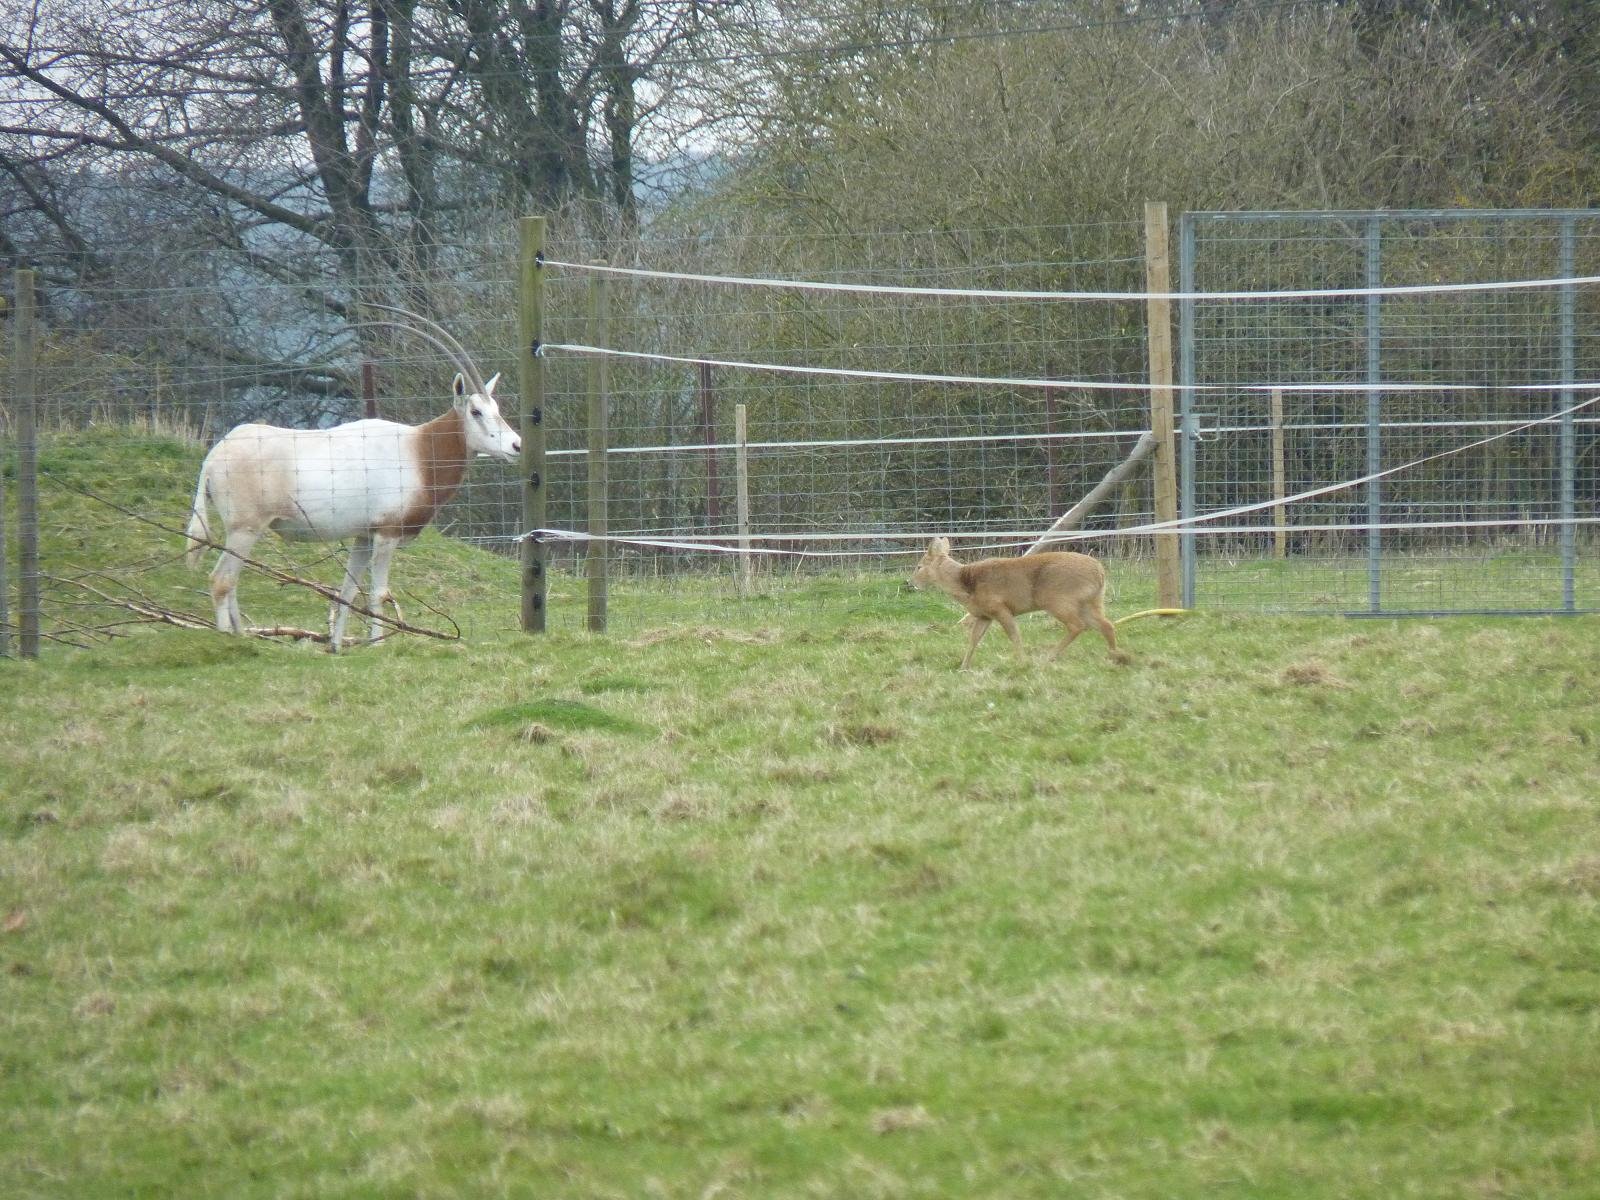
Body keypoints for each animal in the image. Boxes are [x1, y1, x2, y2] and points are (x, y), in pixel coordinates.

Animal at [184, 309, 520, 652]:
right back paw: (227, 639)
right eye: (476, 411)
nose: (516, 445)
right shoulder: (387, 534)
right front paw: (378, 645)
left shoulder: (364, 537)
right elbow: (378, 593)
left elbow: (347, 591)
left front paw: (335, 646)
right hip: (245, 529)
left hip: (244, 533)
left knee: (231, 581)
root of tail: (215, 454)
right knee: (221, 580)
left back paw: (240, 634)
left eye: (496, 408)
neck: (421, 451)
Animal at [908, 537, 1128, 670]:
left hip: (1059, 598)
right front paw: (963, 667)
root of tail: (1100, 572)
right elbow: (973, 640)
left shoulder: (1000, 607)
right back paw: (1115, 656)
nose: (910, 583)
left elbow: (1014, 635)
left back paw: (1048, 657)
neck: (965, 583)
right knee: (1106, 625)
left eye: (919, 566)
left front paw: (1022, 662)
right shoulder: (984, 615)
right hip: (1090, 601)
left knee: (1077, 625)